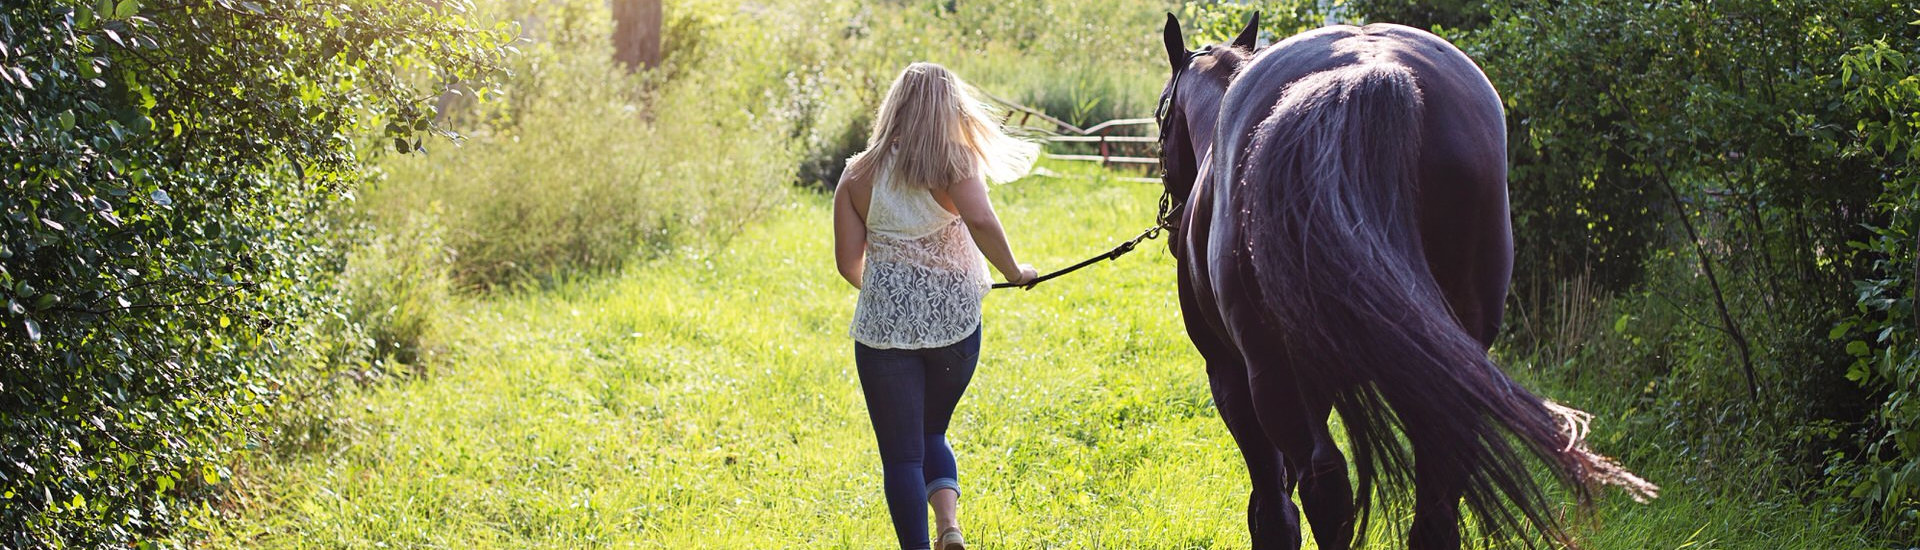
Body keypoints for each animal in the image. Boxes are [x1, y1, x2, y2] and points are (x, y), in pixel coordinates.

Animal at [1152, 13, 1651, 550]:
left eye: (1160, 117)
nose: (1172, 228)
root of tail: (1372, 73)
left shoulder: (1230, 375)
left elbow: (1272, 509)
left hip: (1275, 370)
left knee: (1324, 483)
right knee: (1436, 506)